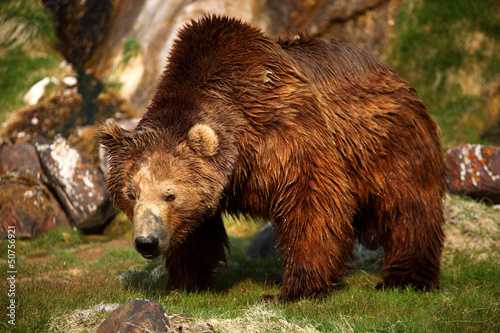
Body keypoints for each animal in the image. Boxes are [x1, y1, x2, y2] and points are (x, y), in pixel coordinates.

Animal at [100, 14, 446, 300]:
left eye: (169, 194)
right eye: (130, 194)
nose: (147, 242)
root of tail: (391, 71)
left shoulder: (284, 136)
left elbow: (311, 201)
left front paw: (295, 289)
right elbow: (196, 232)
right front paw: (183, 283)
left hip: (386, 139)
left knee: (407, 205)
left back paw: (405, 277)